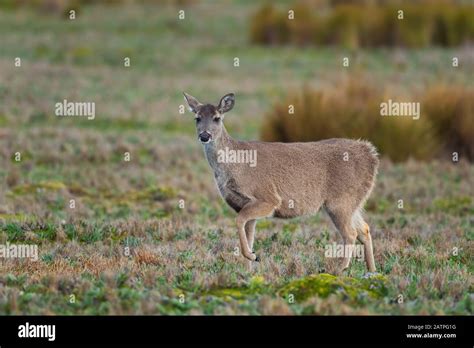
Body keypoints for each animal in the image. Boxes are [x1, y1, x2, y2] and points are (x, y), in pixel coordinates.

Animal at [183, 92, 380, 274]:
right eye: (197, 118)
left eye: (217, 118)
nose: (205, 135)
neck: (235, 164)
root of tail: (371, 155)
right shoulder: (242, 205)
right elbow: (248, 234)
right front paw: (248, 268)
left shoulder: (268, 199)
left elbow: (239, 222)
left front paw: (252, 257)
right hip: (353, 201)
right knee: (364, 229)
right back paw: (372, 271)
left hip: (340, 200)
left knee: (351, 233)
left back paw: (339, 270)